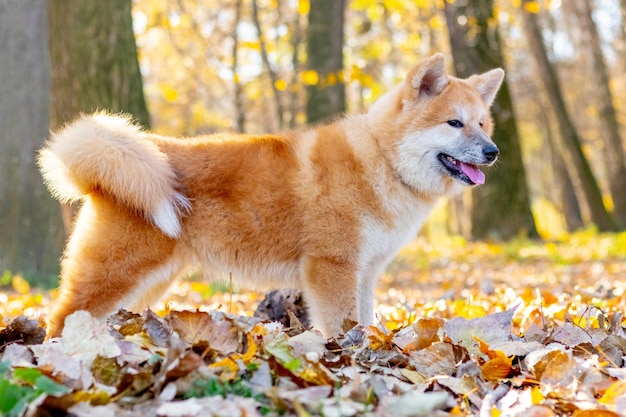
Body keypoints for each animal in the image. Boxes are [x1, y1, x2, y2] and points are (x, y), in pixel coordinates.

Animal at [37, 52, 502, 338]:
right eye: (455, 123)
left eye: (482, 124)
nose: (493, 151)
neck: (381, 161)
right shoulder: (331, 267)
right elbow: (342, 326)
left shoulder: (366, 272)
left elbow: (364, 321)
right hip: (116, 274)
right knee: (59, 318)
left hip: (150, 283)